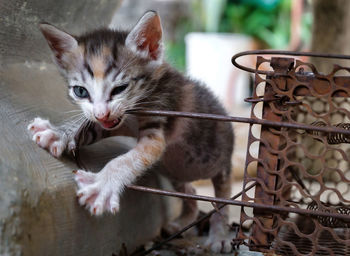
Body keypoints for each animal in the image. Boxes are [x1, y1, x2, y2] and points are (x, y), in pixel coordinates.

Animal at [28, 11, 235, 253]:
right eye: (80, 91)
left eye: (120, 89)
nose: (101, 113)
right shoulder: (113, 121)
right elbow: (88, 126)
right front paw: (58, 133)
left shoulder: (157, 121)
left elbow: (124, 161)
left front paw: (102, 187)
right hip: (173, 170)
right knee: (190, 192)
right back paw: (182, 221)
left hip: (219, 163)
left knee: (223, 200)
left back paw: (220, 235)